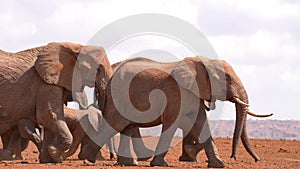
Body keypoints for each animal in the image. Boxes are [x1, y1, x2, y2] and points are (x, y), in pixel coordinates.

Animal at [80, 56, 272, 168]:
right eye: (227, 78)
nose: (234, 157)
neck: (202, 61)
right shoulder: (176, 93)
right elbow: (172, 123)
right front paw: (160, 164)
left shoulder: (194, 94)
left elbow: (200, 123)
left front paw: (220, 164)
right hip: (118, 97)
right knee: (115, 124)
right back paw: (88, 159)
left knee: (126, 126)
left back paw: (129, 163)